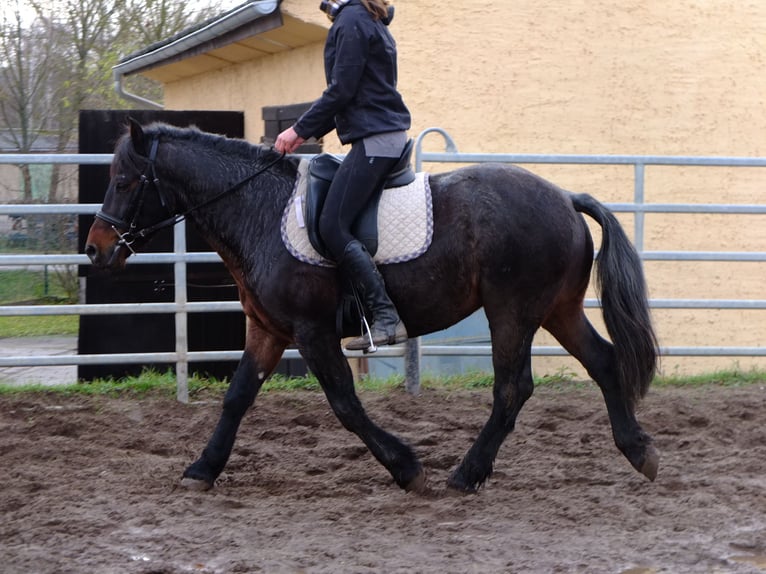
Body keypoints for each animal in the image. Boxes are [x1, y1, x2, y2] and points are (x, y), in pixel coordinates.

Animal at [84, 120, 660, 496]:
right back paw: (639, 452)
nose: (95, 249)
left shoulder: (311, 331)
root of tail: (565, 197)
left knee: (512, 389)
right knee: (604, 362)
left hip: (512, 312)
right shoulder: (268, 330)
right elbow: (237, 398)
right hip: (557, 309)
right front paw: (202, 469)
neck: (258, 211)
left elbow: (345, 403)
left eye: (124, 182)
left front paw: (406, 467)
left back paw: (466, 474)